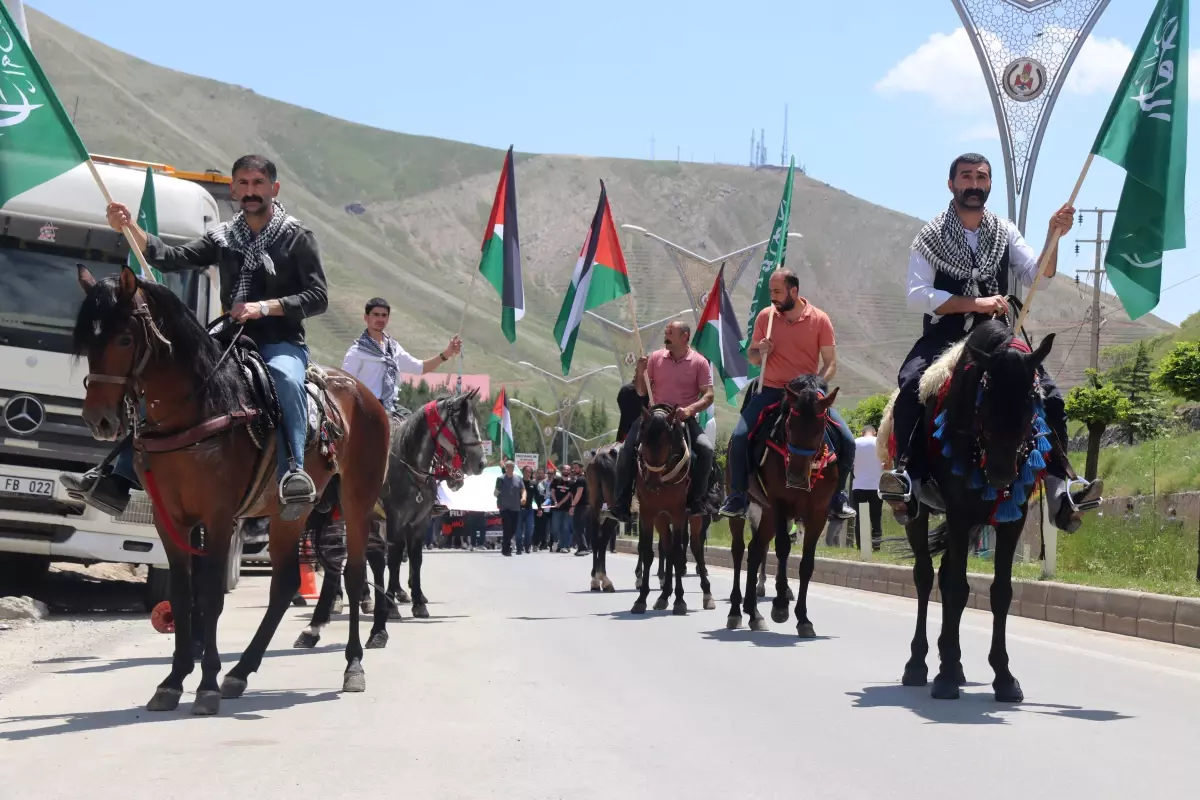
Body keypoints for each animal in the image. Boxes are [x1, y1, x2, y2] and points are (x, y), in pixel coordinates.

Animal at [73, 266, 388, 714]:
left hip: (356, 503)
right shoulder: (171, 521)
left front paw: (205, 685)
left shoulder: (220, 517)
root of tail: (364, 394)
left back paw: (353, 666)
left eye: (124, 339)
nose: (98, 420)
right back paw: (240, 672)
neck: (202, 407)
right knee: (285, 584)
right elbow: (184, 597)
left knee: (356, 572)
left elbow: (211, 597)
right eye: (87, 339)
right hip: (290, 514)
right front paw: (172, 682)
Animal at [292, 393, 484, 652]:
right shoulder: (393, 522)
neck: (406, 468)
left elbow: (414, 559)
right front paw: (391, 606)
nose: (480, 462)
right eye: (464, 423)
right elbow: (391, 561)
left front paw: (417, 602)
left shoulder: (418, 524)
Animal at [628, 402, 710, 618]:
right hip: (662, 519)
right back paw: (664, 596)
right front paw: (641, 599)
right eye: (643, 441)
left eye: (667, 442)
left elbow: (680, 552)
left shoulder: (679, 513)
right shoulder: (649, 514)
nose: (653, 483)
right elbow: (649, 552)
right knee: (667, 548)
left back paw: (707, 593)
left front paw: (680, 601)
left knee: (695, 547)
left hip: (695, 518)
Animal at [724, 376, 840, 638]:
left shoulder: (818, 513)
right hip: (747, 507)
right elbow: (783, 548)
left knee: (756, 549)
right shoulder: (780, 504)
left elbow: (807, 562)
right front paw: (780, 606)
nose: (796, 477)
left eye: (821, 428)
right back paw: (736, 611)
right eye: (789, 425)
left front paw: (803, 619)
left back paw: (754, 613)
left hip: (766, 514)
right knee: (739, 550)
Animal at [888, 319, 1056, 700]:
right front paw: (946, 675)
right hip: (917, 513)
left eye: (1031, 399)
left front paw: (1004, 676)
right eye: (985, 398)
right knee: (925, 577)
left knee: (946, 574)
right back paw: (918, 665)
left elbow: (1000, 592)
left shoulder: (1011, 518)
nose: (1001, 473)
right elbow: (956, 587)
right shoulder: (959, 512)